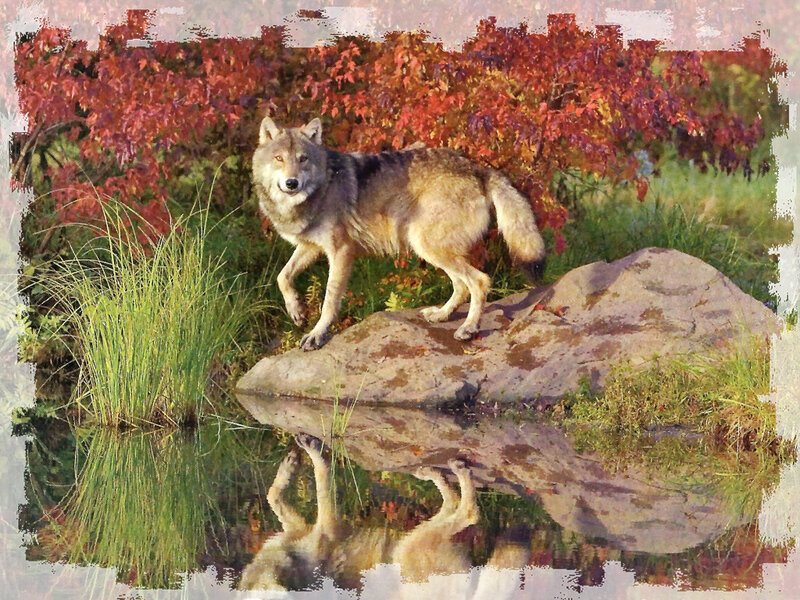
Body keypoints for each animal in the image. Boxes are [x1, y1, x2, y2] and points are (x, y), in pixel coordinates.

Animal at [252, 116, 546, 350]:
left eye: (303, 159)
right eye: (279, 159)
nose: (292, 183)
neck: (321, 188)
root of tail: (479, 169)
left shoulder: (341, 252)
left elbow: (329, 300)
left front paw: (316, 334)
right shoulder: (311, 247)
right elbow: (282, 277)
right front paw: (297, 311)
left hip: (427, 245)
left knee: (480, 281)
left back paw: (468, 328)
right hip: (430, 248)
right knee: (462, 285)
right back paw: (441, 315)